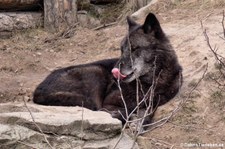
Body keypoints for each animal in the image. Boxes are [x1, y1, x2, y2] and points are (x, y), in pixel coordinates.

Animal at [33, 12, 181, 125]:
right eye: (122, 50)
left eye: (134, 48)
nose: (113, 71)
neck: (151, 82)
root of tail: (37, 90)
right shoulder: (108, 103)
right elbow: (123, 110)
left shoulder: (153, 103)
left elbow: (147, 114)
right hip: (95, 72)